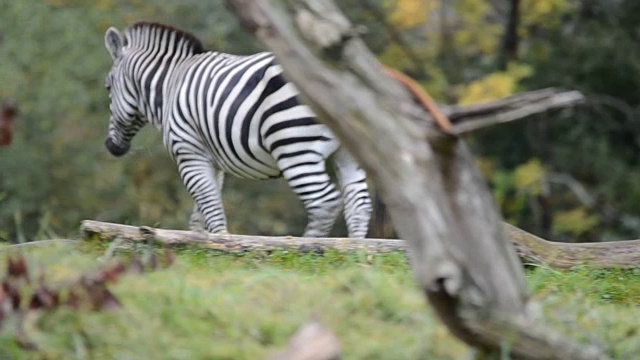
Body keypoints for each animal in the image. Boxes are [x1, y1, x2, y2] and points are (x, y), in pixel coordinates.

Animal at [103, 21, 372, 238]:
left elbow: (210, 207)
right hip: (348, 150)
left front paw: (221, 247)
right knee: (359, 203)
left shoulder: (188, 153)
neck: (170, 84)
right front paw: (199, 246)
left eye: (108, 87)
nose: (111, 146)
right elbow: (202, 211)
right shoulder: (209, 161)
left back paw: (309, 248)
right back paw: (355, 255)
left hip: (293, 146)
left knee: (325, 202)